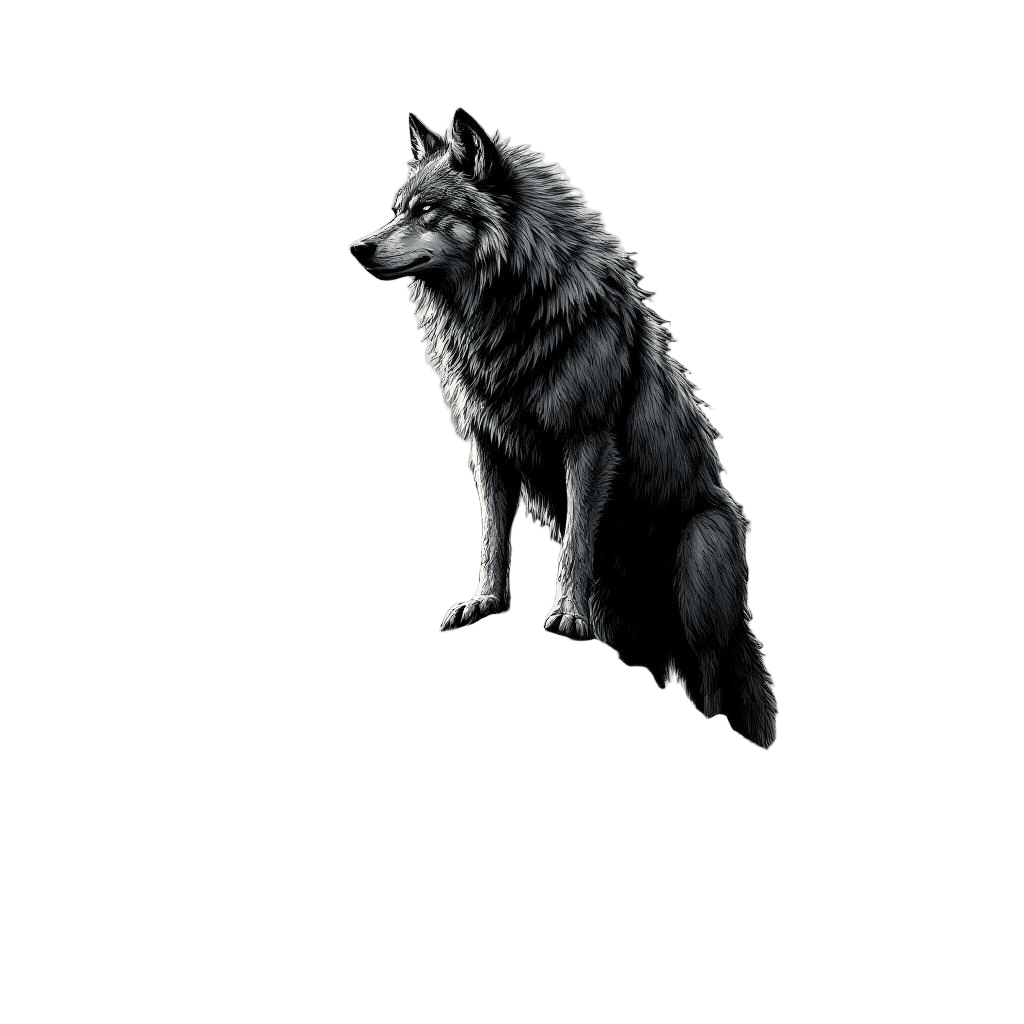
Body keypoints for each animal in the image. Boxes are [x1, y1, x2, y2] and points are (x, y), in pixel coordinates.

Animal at [349, 108, 778, 748]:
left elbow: (575, 539)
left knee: (709, 680)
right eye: (398, 208)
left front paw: (568, 616)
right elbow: (491, 539)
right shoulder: (488, 447)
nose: (358, 247)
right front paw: (484, 602)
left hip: (700, 570)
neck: (505, 314)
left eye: (427, 211)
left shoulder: (588, 441)